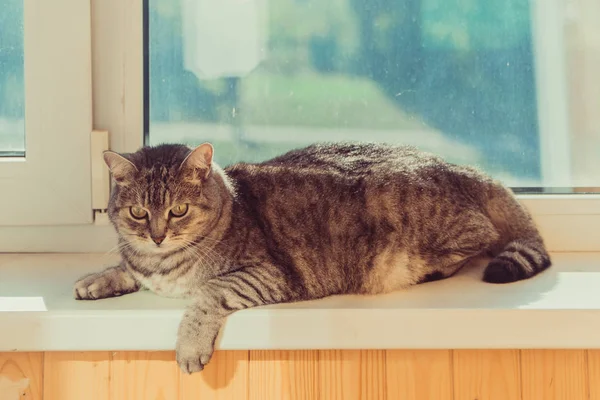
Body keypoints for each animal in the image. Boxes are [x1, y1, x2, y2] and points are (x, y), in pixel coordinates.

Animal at [72, 142, 552, 374]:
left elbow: (207, 295)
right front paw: (98, 280)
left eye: (178, 211)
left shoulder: (264, 274)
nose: (157, 237)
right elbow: (125, 268)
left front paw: (189, 346)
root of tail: (459, 167)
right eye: (138, 213)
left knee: (482, 237)